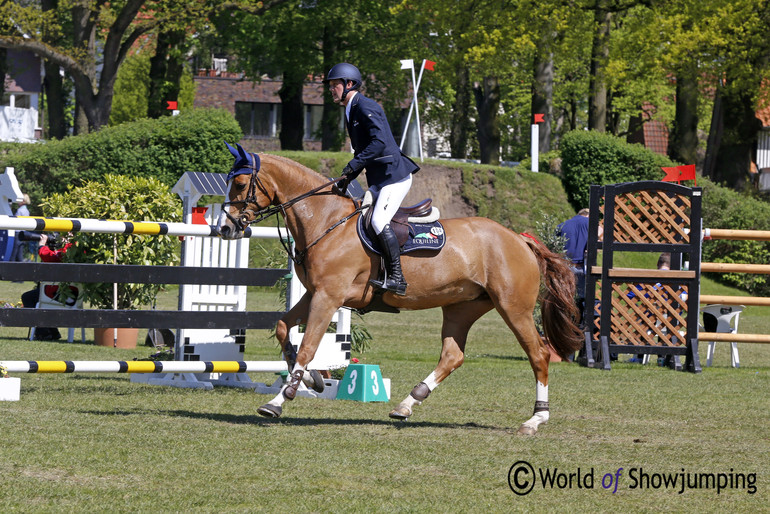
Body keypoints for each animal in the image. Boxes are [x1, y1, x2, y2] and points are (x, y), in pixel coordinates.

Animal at [213, 144, 580, 432]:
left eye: (241, 183)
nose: (225, 229)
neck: (326, 220)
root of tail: (519, 238)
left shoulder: (328, 297)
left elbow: (307, 346)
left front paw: (279, 400)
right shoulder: (316, 294)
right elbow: (282, 327)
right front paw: (312, 380)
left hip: (513, 308)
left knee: (538, 354)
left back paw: (535, 420)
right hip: (461, 307)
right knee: (453, 355)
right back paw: (407, 404)